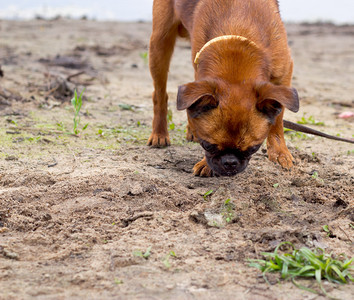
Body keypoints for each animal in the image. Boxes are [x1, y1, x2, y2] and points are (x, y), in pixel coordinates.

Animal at [147, 0, 298, 176]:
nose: (230, 162)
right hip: (159, 44)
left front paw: (279, 152)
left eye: (253, 149)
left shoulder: (283, 74)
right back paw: (159, 133)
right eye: (207, 145)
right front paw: (205, 163)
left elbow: (278, 118)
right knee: (160, 94)